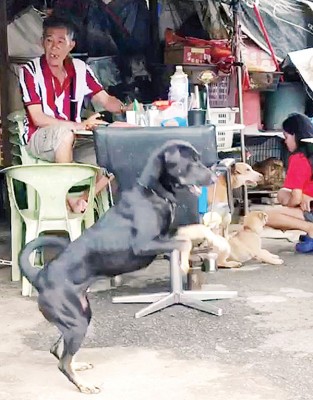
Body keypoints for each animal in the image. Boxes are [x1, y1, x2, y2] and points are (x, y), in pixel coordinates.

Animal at [18, 139, 216, 392]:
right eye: (191, 162)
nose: (213, 177)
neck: (153, 193)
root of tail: (40, 276)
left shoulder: (166, 235)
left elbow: (193, 231)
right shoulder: (145, 246)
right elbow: (183, 243)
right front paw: (182, 265)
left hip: (80, 315)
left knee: (58, 350)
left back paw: (78, 366)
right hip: (76, 320)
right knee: (62, 362)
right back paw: (83, 385)